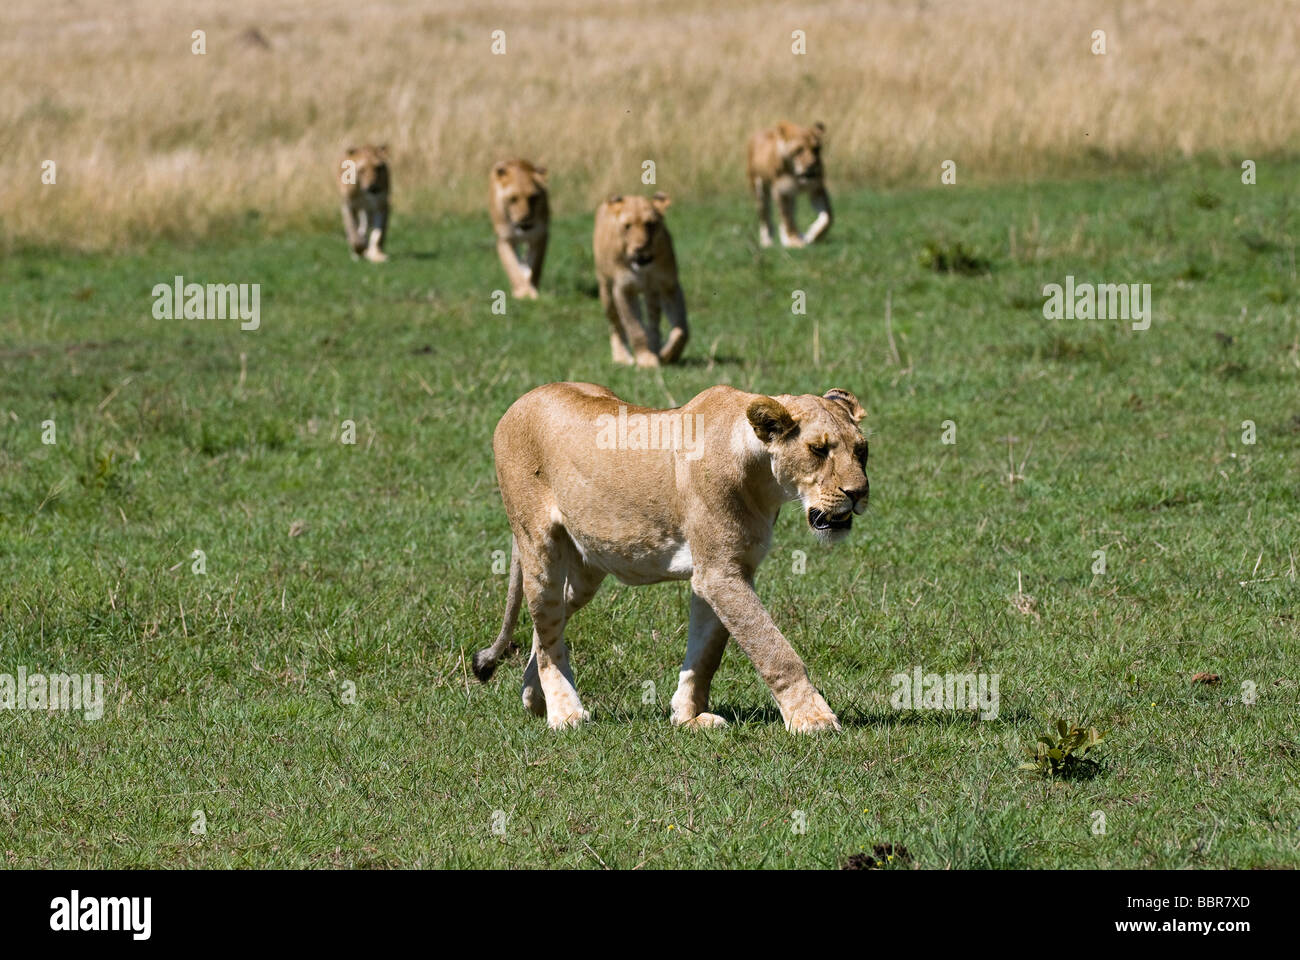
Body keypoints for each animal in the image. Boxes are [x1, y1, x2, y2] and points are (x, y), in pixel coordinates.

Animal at [472, 381, 869, 734]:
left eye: (862, 450)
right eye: (818, 450)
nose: (858, 493)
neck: (763, 479)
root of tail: (522, 400)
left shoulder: (722, 571)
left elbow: (706, 654)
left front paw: (689, 717)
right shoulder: (720, 574)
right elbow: (773, 648)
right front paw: (813, 719)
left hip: (588, 568)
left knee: (546, 627)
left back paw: (533, 696)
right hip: (539, 547)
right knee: (547, 629)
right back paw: (565, 714)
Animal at [490, 160, 550, 299]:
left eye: (533, 197)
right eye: (513, 199)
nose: (525, 218)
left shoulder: (540, 236)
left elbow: (535, 266)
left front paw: (531, 291)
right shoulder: (505, 239)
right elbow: (512, 266)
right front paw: (522, 292)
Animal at [593, 193, 688, 367]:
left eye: (650, 224)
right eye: (627, 226)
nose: (640, 248)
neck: (644, 266)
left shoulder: (669, 286)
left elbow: (681, 329)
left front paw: (668, 355)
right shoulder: (623, 289)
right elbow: (634, 328)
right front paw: (646, 359)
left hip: (651, 293)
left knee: (653, 322)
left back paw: (656, 347)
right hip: (606, 291)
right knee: (615, 325)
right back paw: (622, 357)